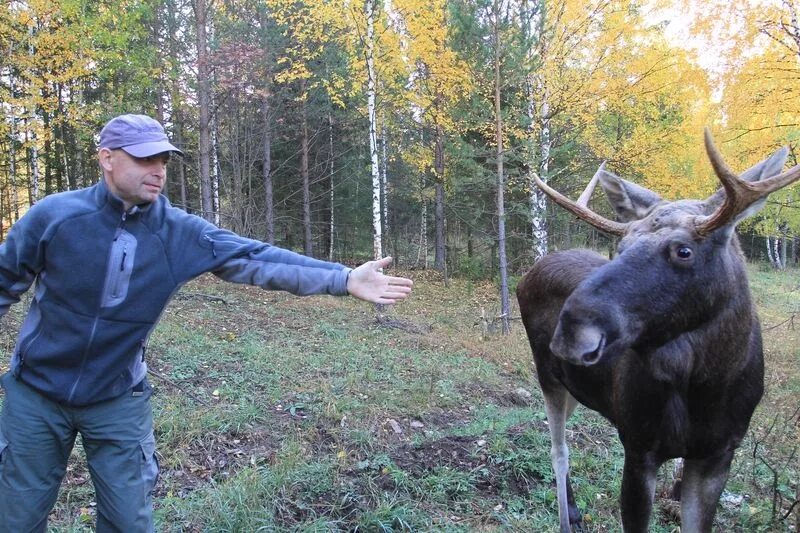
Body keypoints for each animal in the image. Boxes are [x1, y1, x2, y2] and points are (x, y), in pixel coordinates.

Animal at [516, 130, 796, 532]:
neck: (704, 387)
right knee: (559, 450)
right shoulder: (638, 445)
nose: (570, 329)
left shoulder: (719, 453)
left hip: (575, 386)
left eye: (684, 250)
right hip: (547, 375)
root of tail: (529, 273)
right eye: (621, 246)